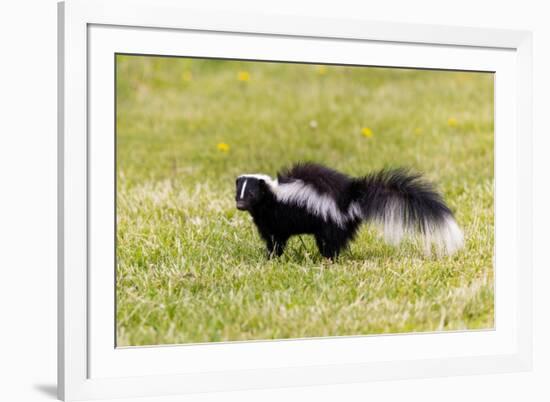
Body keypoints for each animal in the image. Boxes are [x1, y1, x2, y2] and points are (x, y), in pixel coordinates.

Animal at [235, 163, 464, 260]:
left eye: (251, 195)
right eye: (238, 193)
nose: (239, 206)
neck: (272, 195)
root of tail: (351, 197)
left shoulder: (275, 218)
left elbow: (276, 241)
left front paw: (271, 257)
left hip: (330, 220)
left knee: (330, 243)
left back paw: (327, 259)